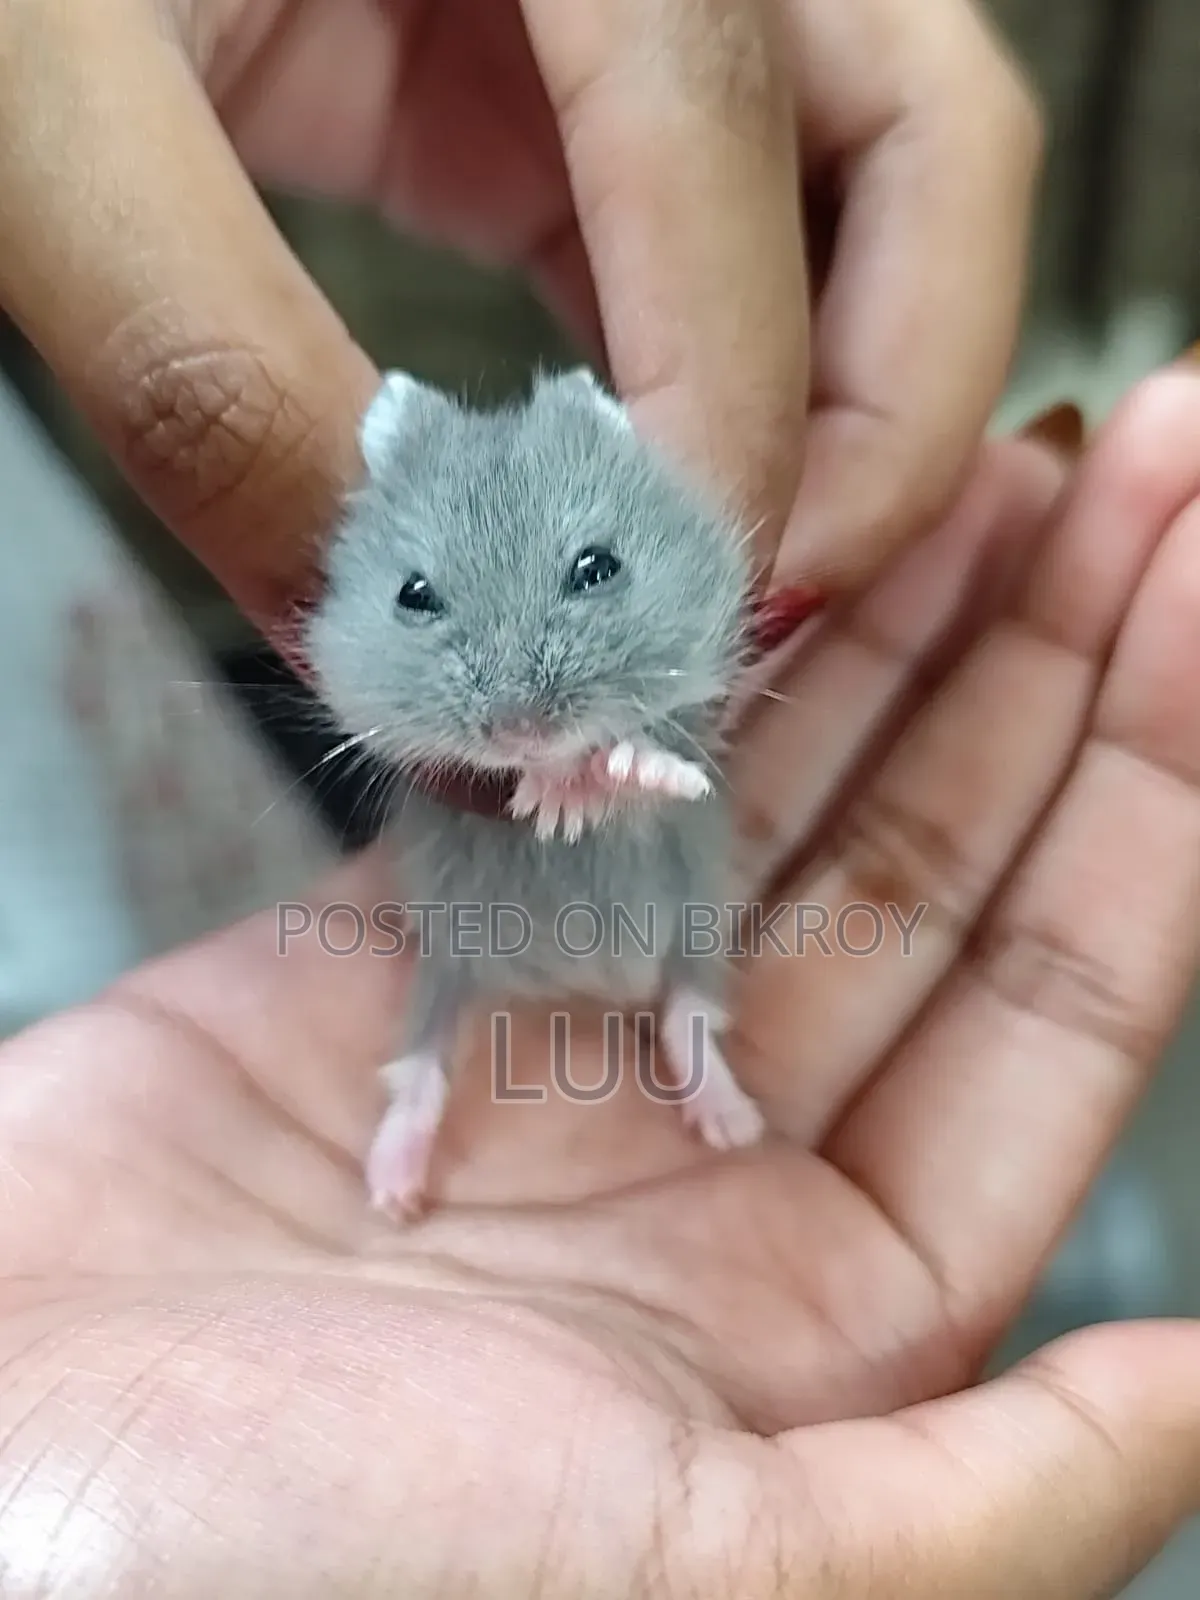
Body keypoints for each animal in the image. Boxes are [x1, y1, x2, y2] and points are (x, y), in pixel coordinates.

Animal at [307, 366, 766, 1218]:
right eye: (413, 594)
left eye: (598, 567)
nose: (519, 728)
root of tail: (582, 986)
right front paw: (552, 793)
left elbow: (653, 760)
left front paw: (618, 777)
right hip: (448, 963)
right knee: (422, 1068)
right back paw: (392, 1192)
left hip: (695, 927)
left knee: (688, 1017)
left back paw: (733, 1125)